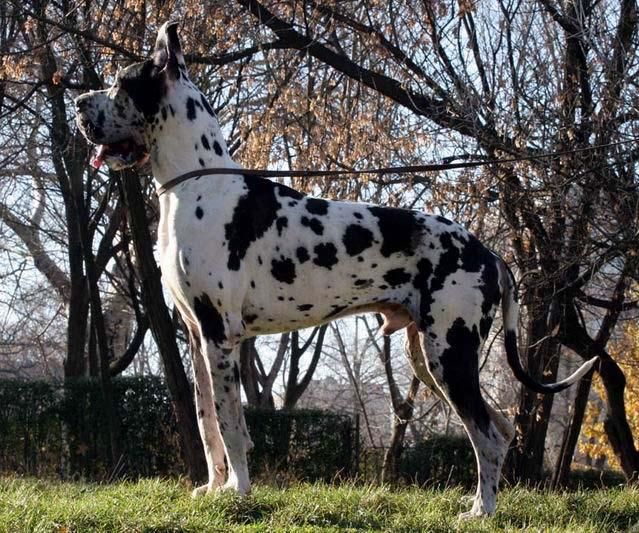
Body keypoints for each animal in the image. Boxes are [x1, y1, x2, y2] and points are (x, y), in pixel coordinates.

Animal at [75, 21, 597, 517]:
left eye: (120, 83)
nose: (79, 103)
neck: (196, 183)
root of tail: (489, 253)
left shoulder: (220, 337)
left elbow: (231, 424)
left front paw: (238, 492)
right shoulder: (196, 336)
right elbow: (208, 425)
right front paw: (213, 488)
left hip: (449, 353)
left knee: (486, 434)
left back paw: (480, 511)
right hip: (429, 356)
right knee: (502, 429)